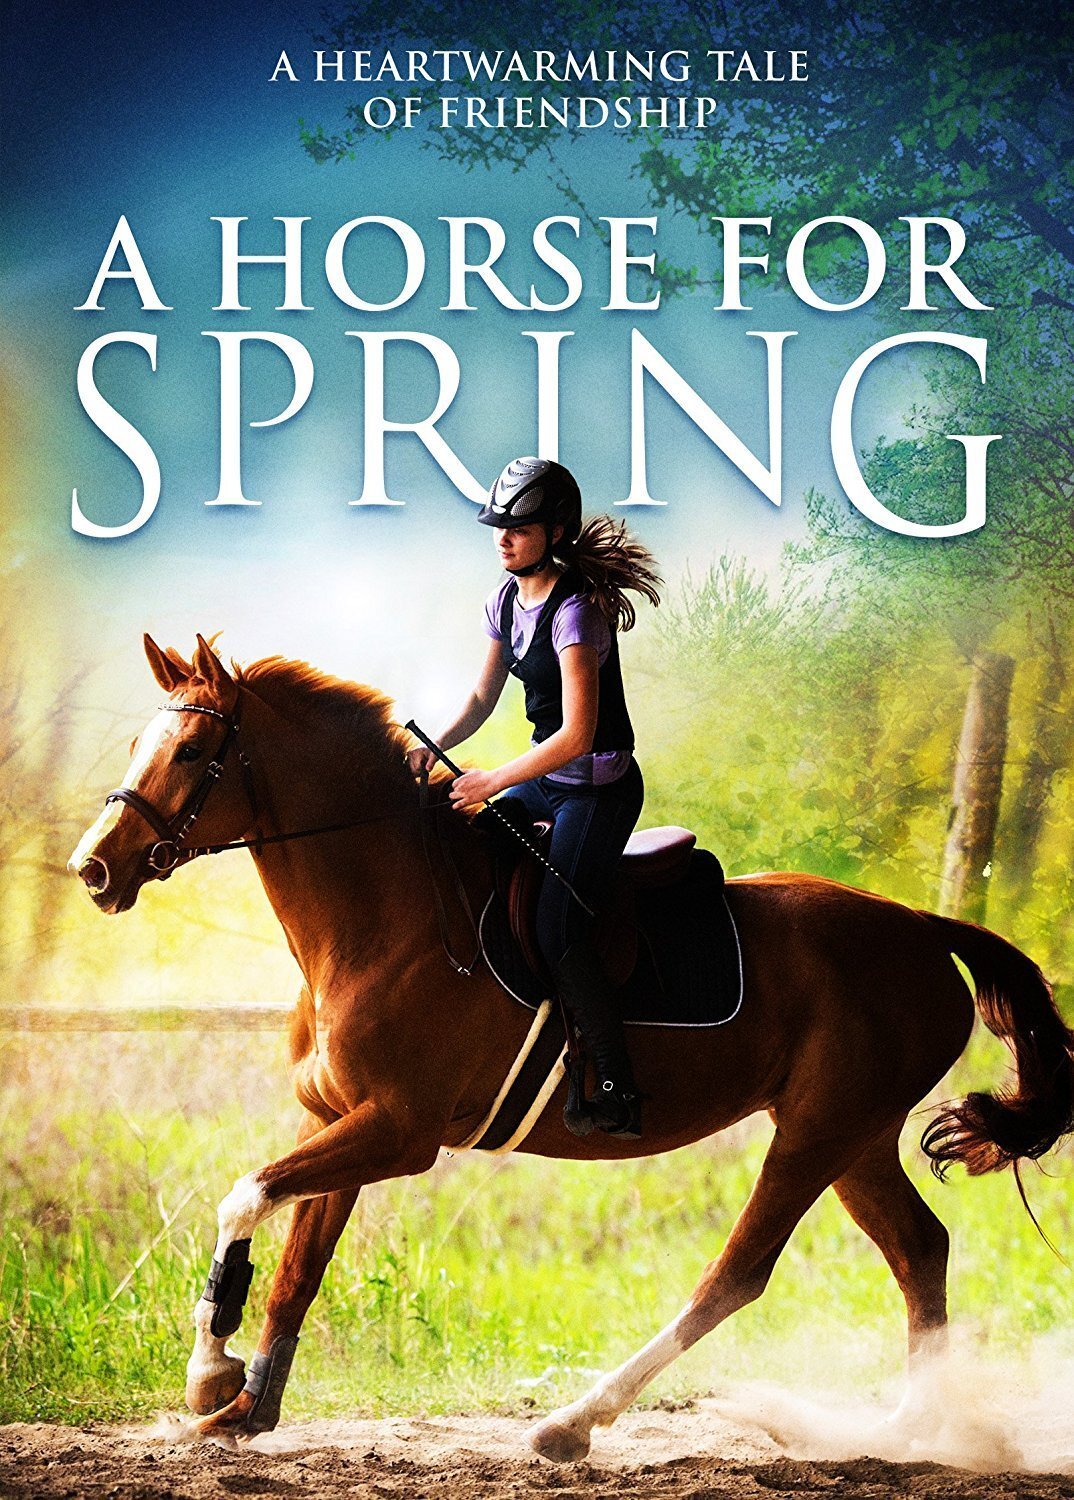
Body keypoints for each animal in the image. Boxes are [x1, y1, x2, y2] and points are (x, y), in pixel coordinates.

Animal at [69, 633, 1074, 1460]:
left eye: (192, 753)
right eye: (138, 748)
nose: (94, 869)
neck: (383, 918)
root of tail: (920, 927)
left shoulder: (400, 1131)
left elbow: (243, 1196)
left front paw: (210, 1376)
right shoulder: (341, 1122)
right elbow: (294, 1270)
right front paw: (244, 1406)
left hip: (818, 1132)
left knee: (737, 1274)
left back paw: (575, 1422)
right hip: (854, 1136)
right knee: (920, 1250)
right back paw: (909, 1428)